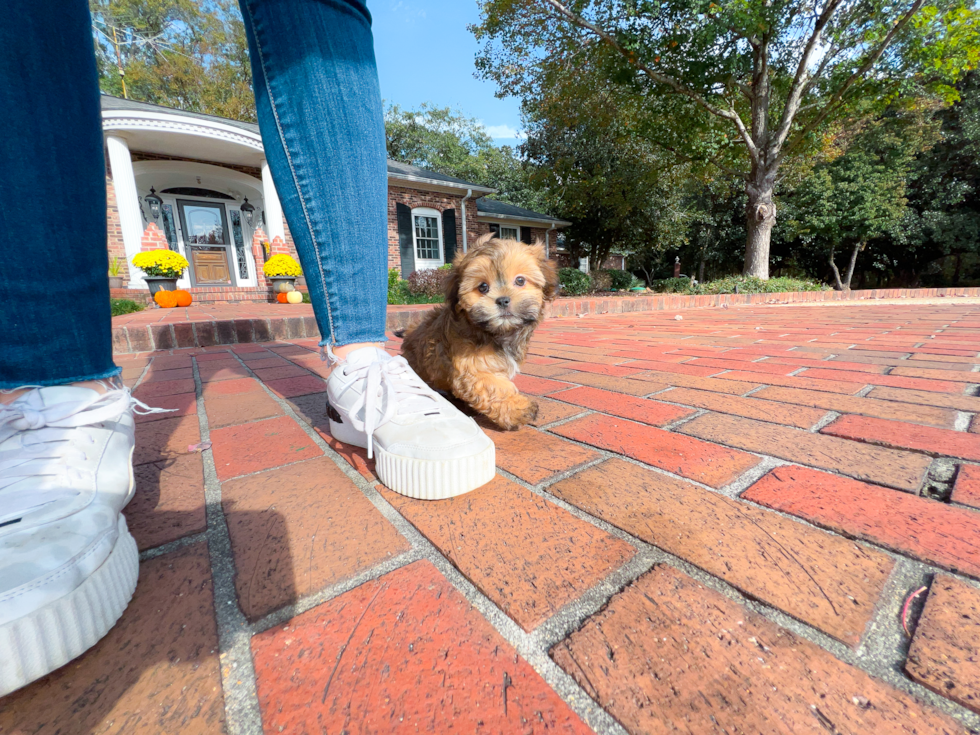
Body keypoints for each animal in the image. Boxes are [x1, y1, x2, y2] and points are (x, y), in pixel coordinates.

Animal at [398, 236, 560, 432]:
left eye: (520, 281)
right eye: (483, 287)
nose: (503, 300)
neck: (496, 334)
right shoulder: (472, 368)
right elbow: (494, 387)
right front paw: (519, 409)